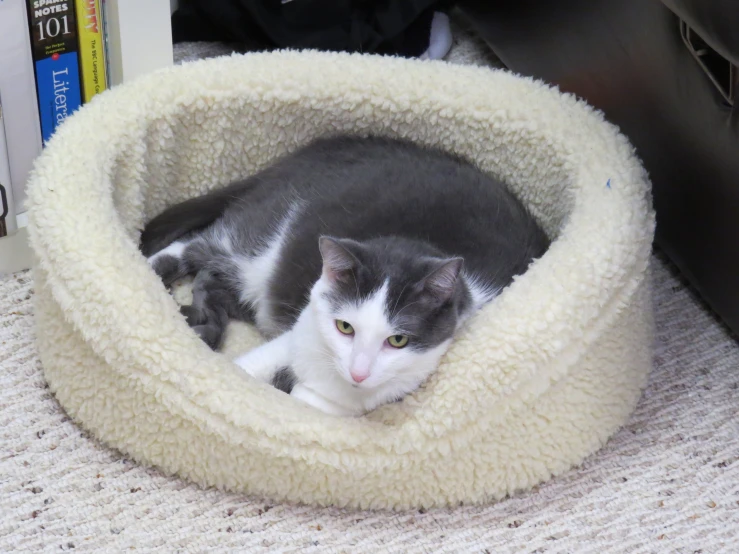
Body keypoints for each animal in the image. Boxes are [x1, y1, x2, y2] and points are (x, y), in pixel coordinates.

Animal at [140, 136, 548, 416]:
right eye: (346, 328)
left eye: (397, 340)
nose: (359, 372)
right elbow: (255, 369)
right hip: (261, 238)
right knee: (195, 244)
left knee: (214, 279)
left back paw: (203, 320)